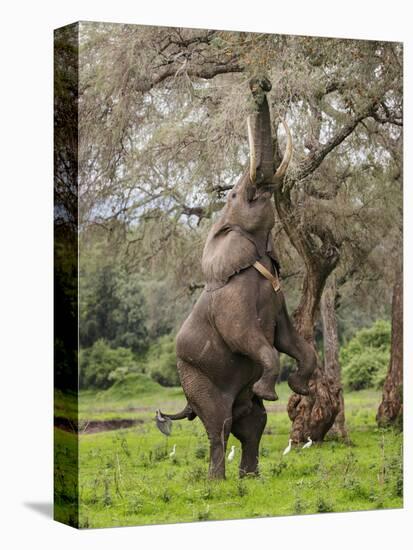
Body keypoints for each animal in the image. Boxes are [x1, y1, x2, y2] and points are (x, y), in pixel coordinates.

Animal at [154, 75, 316, 480]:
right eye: (234, 195)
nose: (260, 84)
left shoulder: (279, 298)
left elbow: (290, 340)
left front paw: (300, 387)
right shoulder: (232, 303)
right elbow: (249, 339)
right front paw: (272, 390)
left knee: (252, 423)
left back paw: (252, 478)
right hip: (196, 376)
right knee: (220, 424)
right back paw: (217, 483)